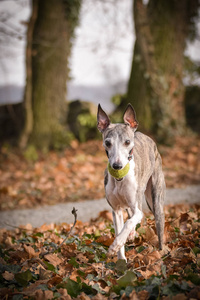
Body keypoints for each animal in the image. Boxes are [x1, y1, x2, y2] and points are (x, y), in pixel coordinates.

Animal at [96, 102, 164, 260]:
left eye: (127, 142)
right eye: (107, 143)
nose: (117, 166)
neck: (120, 179)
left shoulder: (137, 209)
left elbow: (129, 222)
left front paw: (115, 244)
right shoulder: (115, 210)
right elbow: (120, 229)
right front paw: (119, 256)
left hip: (154, 199)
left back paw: (162, 251)